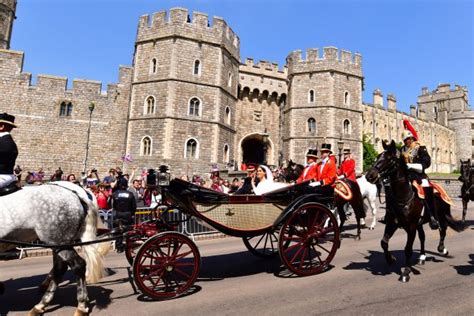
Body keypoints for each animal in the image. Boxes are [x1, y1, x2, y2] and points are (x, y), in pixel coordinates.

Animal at [1, 181, 110, 314]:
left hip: (58, 241)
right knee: (60, 269)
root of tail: (76, 194)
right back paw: (41, 304)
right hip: (58, 244)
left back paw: (81, 305)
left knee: (77, 265)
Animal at [364, 140, 464, 282]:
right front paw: (391, 259)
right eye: (378, 157)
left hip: (441, 216)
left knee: (443, 230)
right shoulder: (392, 224)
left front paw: (406, 272)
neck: (403, 196)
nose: (369, 176)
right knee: (423, 237)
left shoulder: (411, 227)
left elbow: (408, 249)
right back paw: (422, 256)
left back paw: (442, 249)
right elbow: (384, 242)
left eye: (389, 159)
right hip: (420, 223)